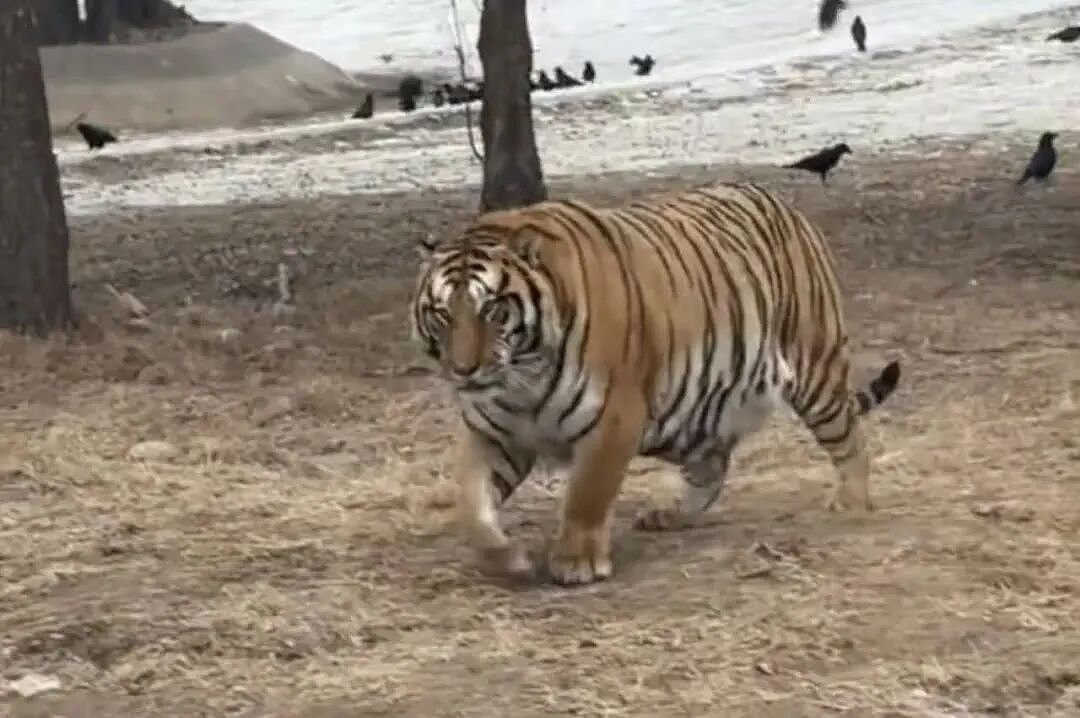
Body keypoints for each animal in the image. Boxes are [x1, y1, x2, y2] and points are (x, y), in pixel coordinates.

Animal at [410, 181, 901, 586]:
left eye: (492, 310)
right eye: (443, 314)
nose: (463, 370)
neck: (522, 377)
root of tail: (781, 202)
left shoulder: (614, 418)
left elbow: (587, 494)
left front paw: (576, 562)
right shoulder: (493, 433)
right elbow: (472, 505)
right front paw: (507, 560)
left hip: (814, 368)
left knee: (849, 438)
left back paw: (852, 504)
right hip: (690, 414)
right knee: (712, 467)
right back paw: (669, 516)